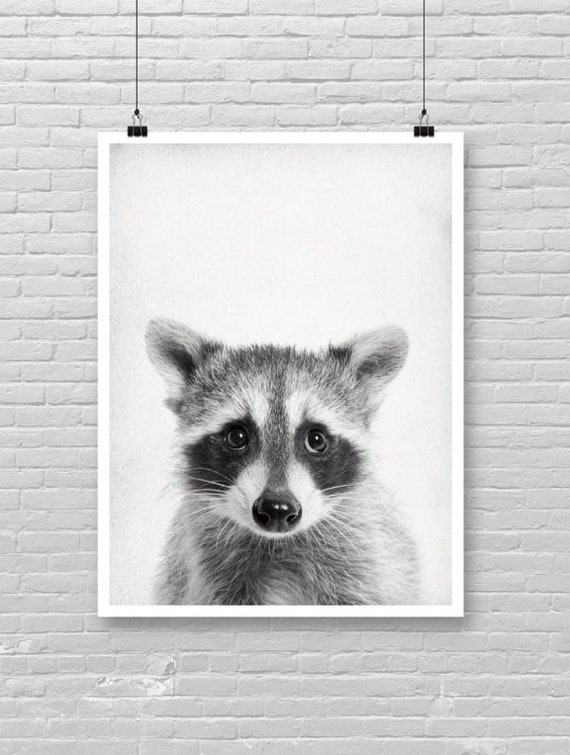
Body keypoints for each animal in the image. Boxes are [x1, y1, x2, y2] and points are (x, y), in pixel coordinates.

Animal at [146, 318, 419, 606]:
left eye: (316, 439)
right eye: (237, 436)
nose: (277, 508)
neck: (278, 543)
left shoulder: (366, 557)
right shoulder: (208, 571)